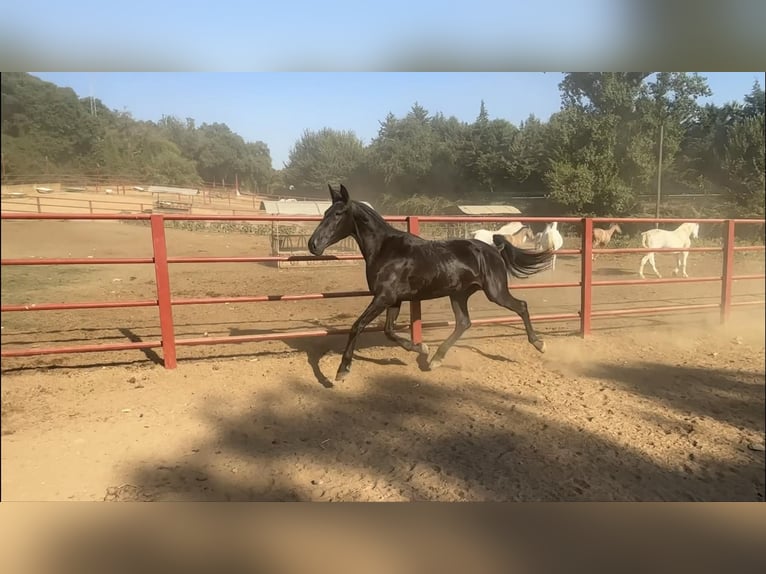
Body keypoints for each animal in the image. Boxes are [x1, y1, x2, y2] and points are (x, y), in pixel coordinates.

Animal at [308, 184, 556, 382]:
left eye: (338, 213)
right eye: (326, 212)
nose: (313, 244)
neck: (385, 250)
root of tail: (493, 249)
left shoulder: (383, 297)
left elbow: (357, 326)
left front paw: (342, 371)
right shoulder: (393, 299)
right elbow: (389, 330)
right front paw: (421, 348)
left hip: (495, 291)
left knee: (521, 306)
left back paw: (540, 344)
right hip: (459, 294)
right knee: (463, 322)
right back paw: (436, 359)